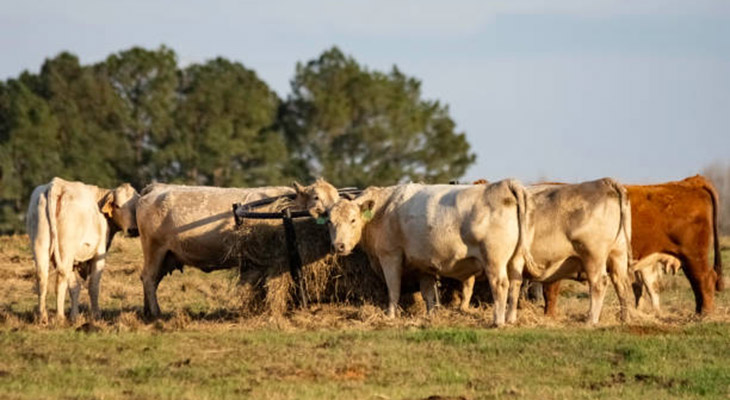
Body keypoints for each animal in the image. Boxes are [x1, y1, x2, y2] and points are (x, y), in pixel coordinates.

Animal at [25, 177, 139, 324]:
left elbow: (75, 288)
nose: (133, 230)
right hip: (65, 251)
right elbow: (93, 286)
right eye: (118, 206)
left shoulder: (74, 261)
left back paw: (42, 317)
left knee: (42, 278)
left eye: (135, 207)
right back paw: (60, 317)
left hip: (40, 246)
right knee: (61, 278)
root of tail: (57, 184)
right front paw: (96, 315)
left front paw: (75, 316)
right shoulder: (98, 254)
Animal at [137, 180, 338, 318]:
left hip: (167, 255)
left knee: (151, 280)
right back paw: (156, 313)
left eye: (337, 198)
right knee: (149, 278)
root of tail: (157, 187)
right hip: (154, 249)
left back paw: (147, 311)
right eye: (316, 197)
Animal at [540, 175, 724, 316]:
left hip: (694, 255)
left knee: (704, 280)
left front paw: (549, 317)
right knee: (697, 285)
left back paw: (705, 315)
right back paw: (698, 313)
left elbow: (549, 292)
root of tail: (691, 181)